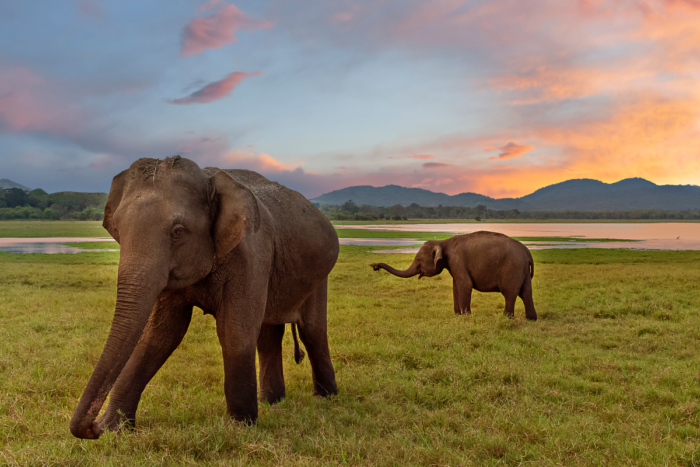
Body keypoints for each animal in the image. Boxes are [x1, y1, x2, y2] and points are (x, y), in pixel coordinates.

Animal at [70, 155, 339, 439]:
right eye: (118, 231)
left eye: (177, 232)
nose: (93, 427)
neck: (208, 177)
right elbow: (160, 335)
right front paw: (115, 429)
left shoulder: (251, 255)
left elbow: (234, 332)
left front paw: (239, 426)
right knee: (269, 335)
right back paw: (272, 402)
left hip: (319, 275)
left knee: (312, 331)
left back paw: (325, 397)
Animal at [371, 231, 536, 320]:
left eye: (418, 260)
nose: (375, 266)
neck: (443, 242)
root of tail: (528, 253)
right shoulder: (453, 265)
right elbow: (456, 286)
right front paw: (458, 315)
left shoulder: (457, 261)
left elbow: (465, 285)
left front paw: (465, 316)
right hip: (522, 271)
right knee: (526, 293)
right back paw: (531, 319)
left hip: (512, 268)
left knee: (510, 293)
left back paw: (507, 318)